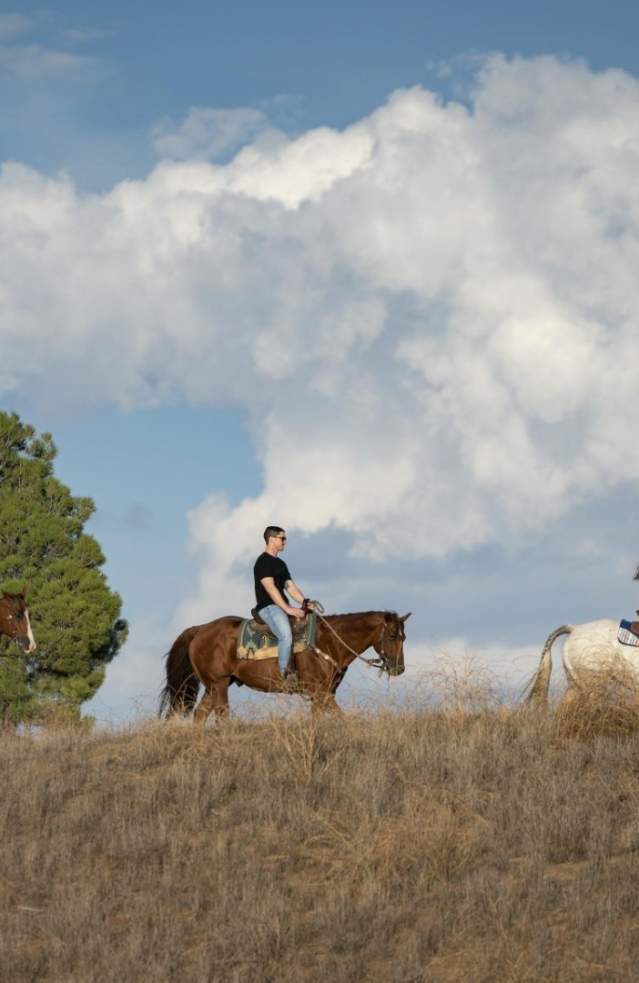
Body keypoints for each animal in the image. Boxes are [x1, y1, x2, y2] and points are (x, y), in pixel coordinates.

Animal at [160, 609, 411, 722]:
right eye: (391, 636)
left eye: (404, 637)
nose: (399, 669)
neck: (328, 642)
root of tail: (199, 630)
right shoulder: (321, 693)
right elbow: (342, 718)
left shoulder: (320, 695)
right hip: (219, 684)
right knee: (221, 715)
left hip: (215, 685)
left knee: (201, 714)